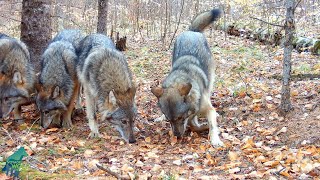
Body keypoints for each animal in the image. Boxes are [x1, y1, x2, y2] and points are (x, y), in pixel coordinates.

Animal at [151, 8, 224, 146]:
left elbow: (212, 125)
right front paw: (203, 126)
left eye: (180, 117)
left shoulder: (208, 110)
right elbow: (193, 124)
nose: (177, 136)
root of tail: (192, 31)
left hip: (211, 78)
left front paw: (215, 139)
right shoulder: (190, 116)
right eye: (169, 120)